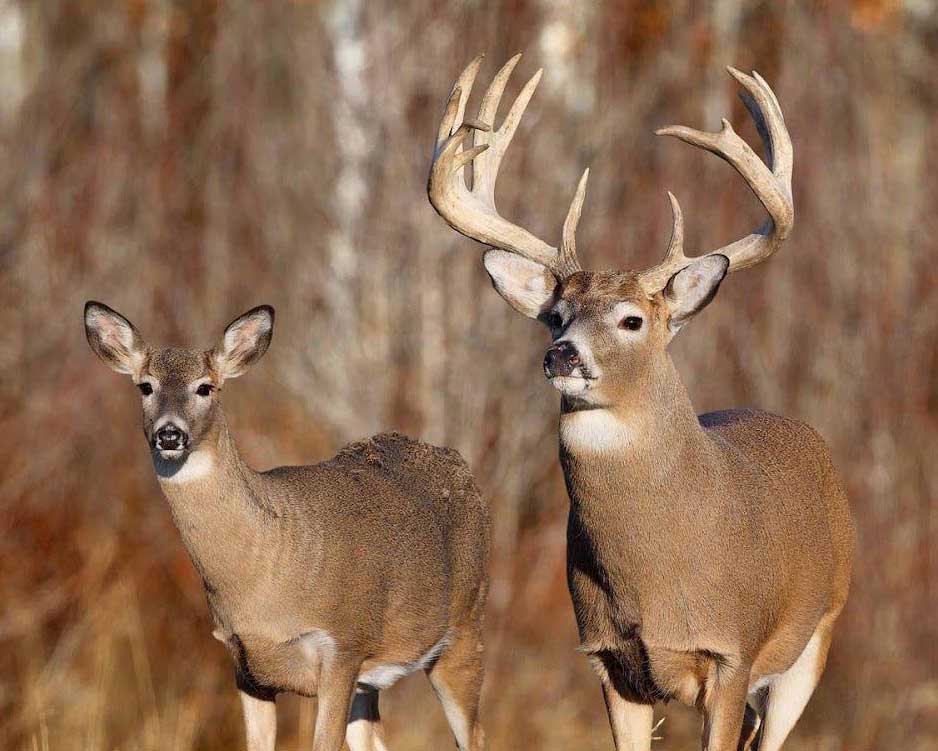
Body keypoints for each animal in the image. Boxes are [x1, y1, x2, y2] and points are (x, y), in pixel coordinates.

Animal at [83, 302, 490, 751]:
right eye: (145, 386)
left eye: (205, 387)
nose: (169, 434)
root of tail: (459, 464)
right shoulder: (245, 665)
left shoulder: (342, 648)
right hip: (372, 682)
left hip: (465, 627)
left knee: (476, 733)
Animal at [428, 54, 855, 751]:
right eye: (556, 315)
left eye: (632, 320)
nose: (562, 356)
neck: (655, 579)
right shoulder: (608, 659)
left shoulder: (731, 654)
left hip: (815, 638)